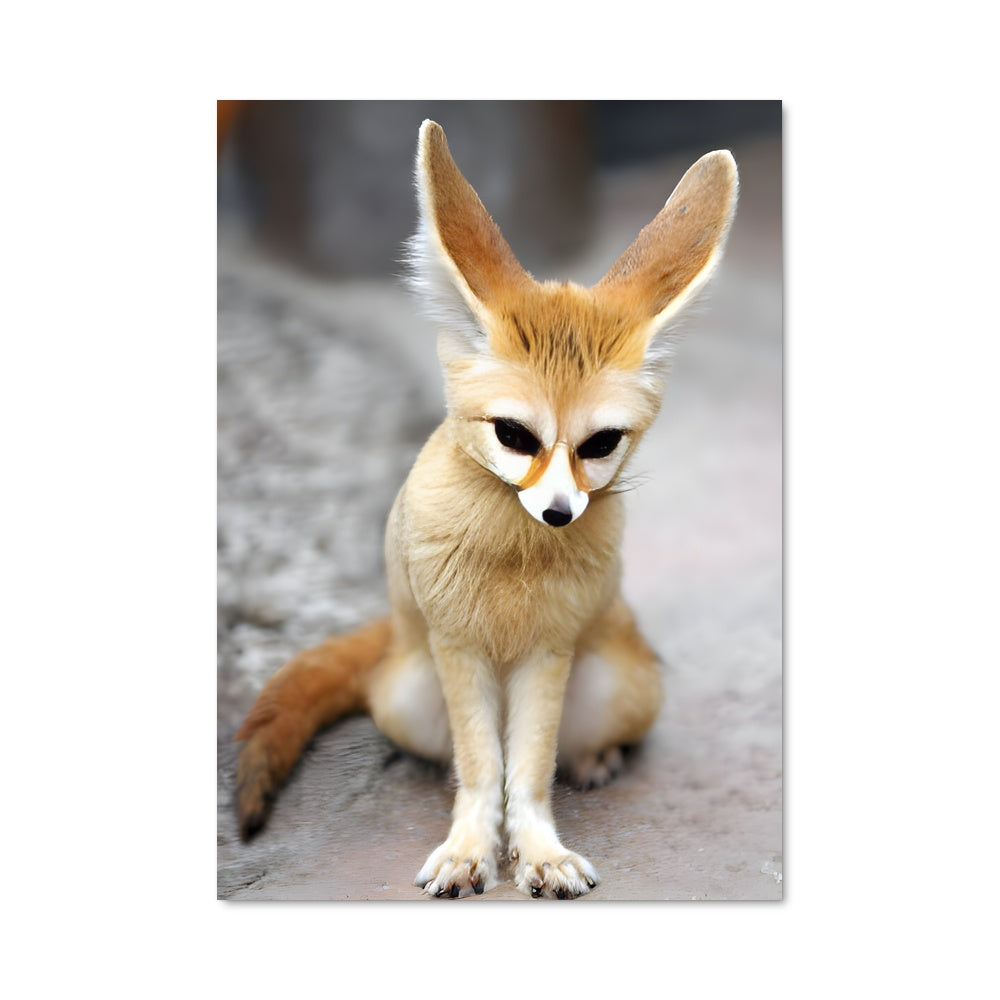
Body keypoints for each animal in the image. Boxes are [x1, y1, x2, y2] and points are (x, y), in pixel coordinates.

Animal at [234, 119, 738, 899]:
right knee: (460, 753)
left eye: (600, 444)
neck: (512, 560)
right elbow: (483, 768)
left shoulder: (547, 652)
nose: (560, 513)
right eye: (514, 435)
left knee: (573, 743)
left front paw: (539, 852)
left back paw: (594, 759)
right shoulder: (458, 648)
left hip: (619, 685)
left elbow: (527, 771)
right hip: (410, 696)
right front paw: (472, 845)